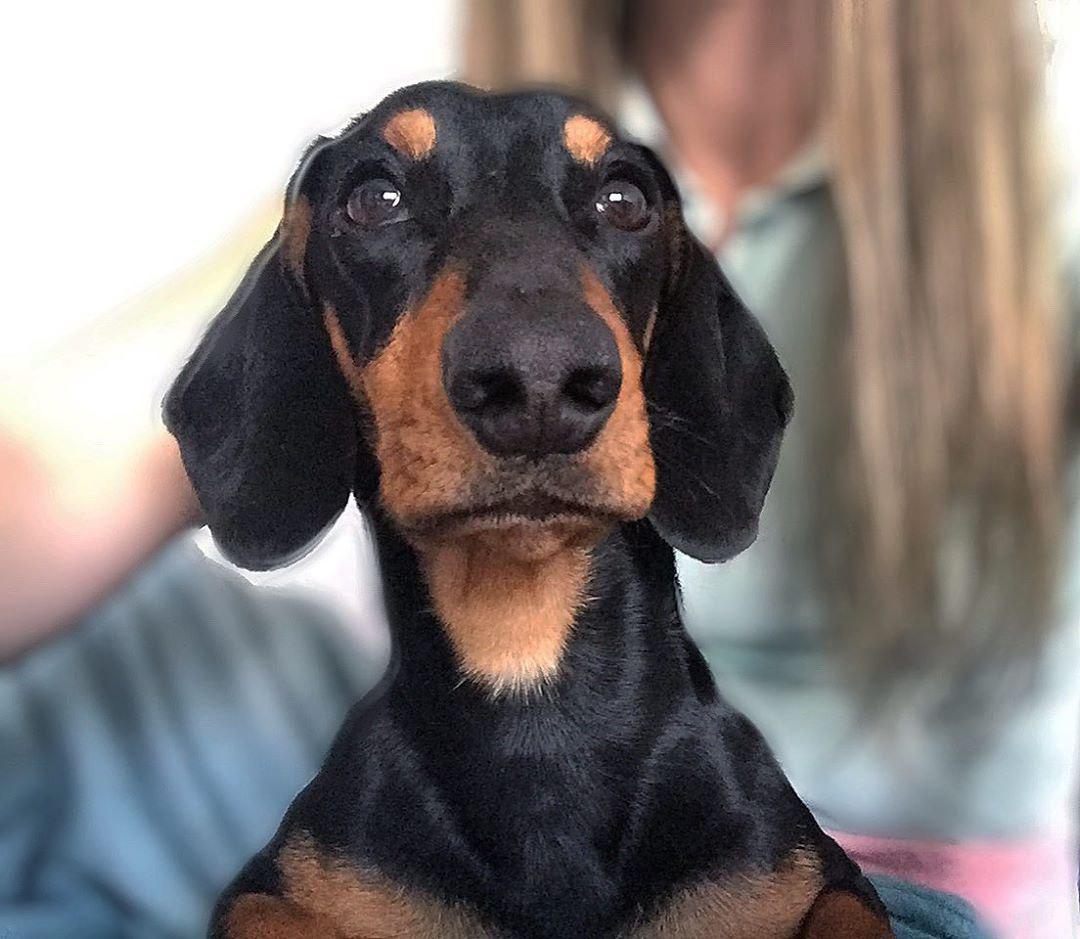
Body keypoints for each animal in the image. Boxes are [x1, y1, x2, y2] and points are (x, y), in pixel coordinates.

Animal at [166, 82, 894, 937]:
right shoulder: (281, 885)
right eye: (374, 198)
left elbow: (848, 912)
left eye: (625, 199)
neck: (525, 655)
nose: (539, 377)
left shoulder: (804, 876)